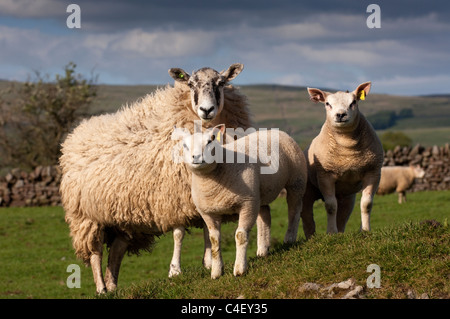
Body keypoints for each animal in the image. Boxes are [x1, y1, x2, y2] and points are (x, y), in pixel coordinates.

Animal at [59, 63, 253, 296]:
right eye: (190, 84)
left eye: (221, 83)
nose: (206, 110)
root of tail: (75, 133)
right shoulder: (172, 196)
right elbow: (178, 233)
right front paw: (175, 271)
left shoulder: (201, 193)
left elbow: (209, 228)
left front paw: (208, 263)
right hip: (86, 216)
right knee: (95, 252)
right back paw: (101, 288)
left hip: (121, 216)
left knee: (116, 250)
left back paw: (113, 287)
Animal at [179, 124, 310, 278]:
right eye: (185, 145)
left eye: (210, 141)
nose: (196, 157)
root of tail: (276, 131)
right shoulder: (208, 213)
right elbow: (214, 241)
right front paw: (216, 272)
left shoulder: (247, 204)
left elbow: (240, 235)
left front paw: (240, 269)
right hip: (259, 193)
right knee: (265, 216)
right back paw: (263, 249)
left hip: (296, 179)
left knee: (294, 210)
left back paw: (289, 238)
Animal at [300, 82, 384, 240]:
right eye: (327, 104)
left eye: (354, 102)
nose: (340, 115)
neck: (347, 149)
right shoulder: (325, 175)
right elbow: (331, 206)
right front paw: (330, 232)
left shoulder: (373, 172)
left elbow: (366, 204)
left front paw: (365, 230)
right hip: (307, 191)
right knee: (307, 215)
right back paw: (311, 237)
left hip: (346, 196)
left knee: (342, 215)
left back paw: (340, 232)